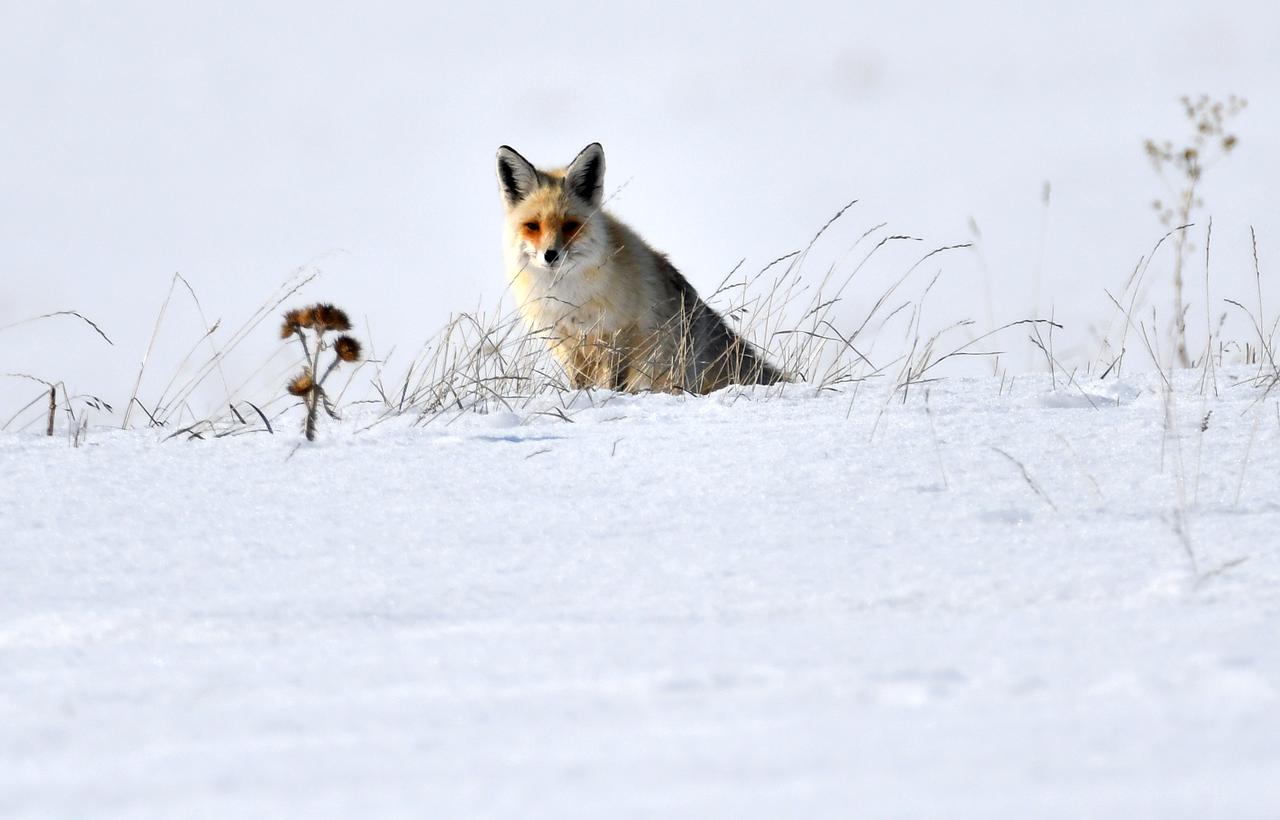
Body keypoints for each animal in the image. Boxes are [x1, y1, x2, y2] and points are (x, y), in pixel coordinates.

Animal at [495, 142, 785, 394]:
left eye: (570, 226)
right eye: (533, 226)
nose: (550, 255)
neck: (569, 295)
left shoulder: (620, 334)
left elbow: (614, 383)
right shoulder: (565, 341)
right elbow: (578, 383)